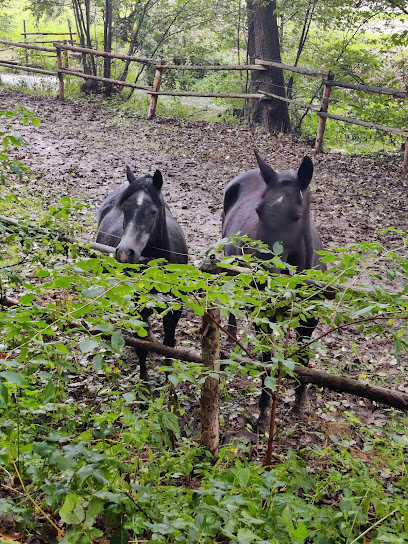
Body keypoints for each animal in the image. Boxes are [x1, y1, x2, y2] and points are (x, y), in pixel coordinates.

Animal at [97, 168, 188, 380]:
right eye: (125, 209)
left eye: (152, 211)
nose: (125, 253)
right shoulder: (136, 310)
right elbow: (141, 346)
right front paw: (144, 381)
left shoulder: (175, 310)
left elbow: (168, 345)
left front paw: (169, 380)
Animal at [222, 151, 326, 422]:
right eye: (258, 211)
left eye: (297, 216)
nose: (260, 272)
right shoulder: (264, 320)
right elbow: (266, 360)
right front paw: (262, 412)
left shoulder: (310, 320)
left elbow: (302, 356)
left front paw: (300, 401)